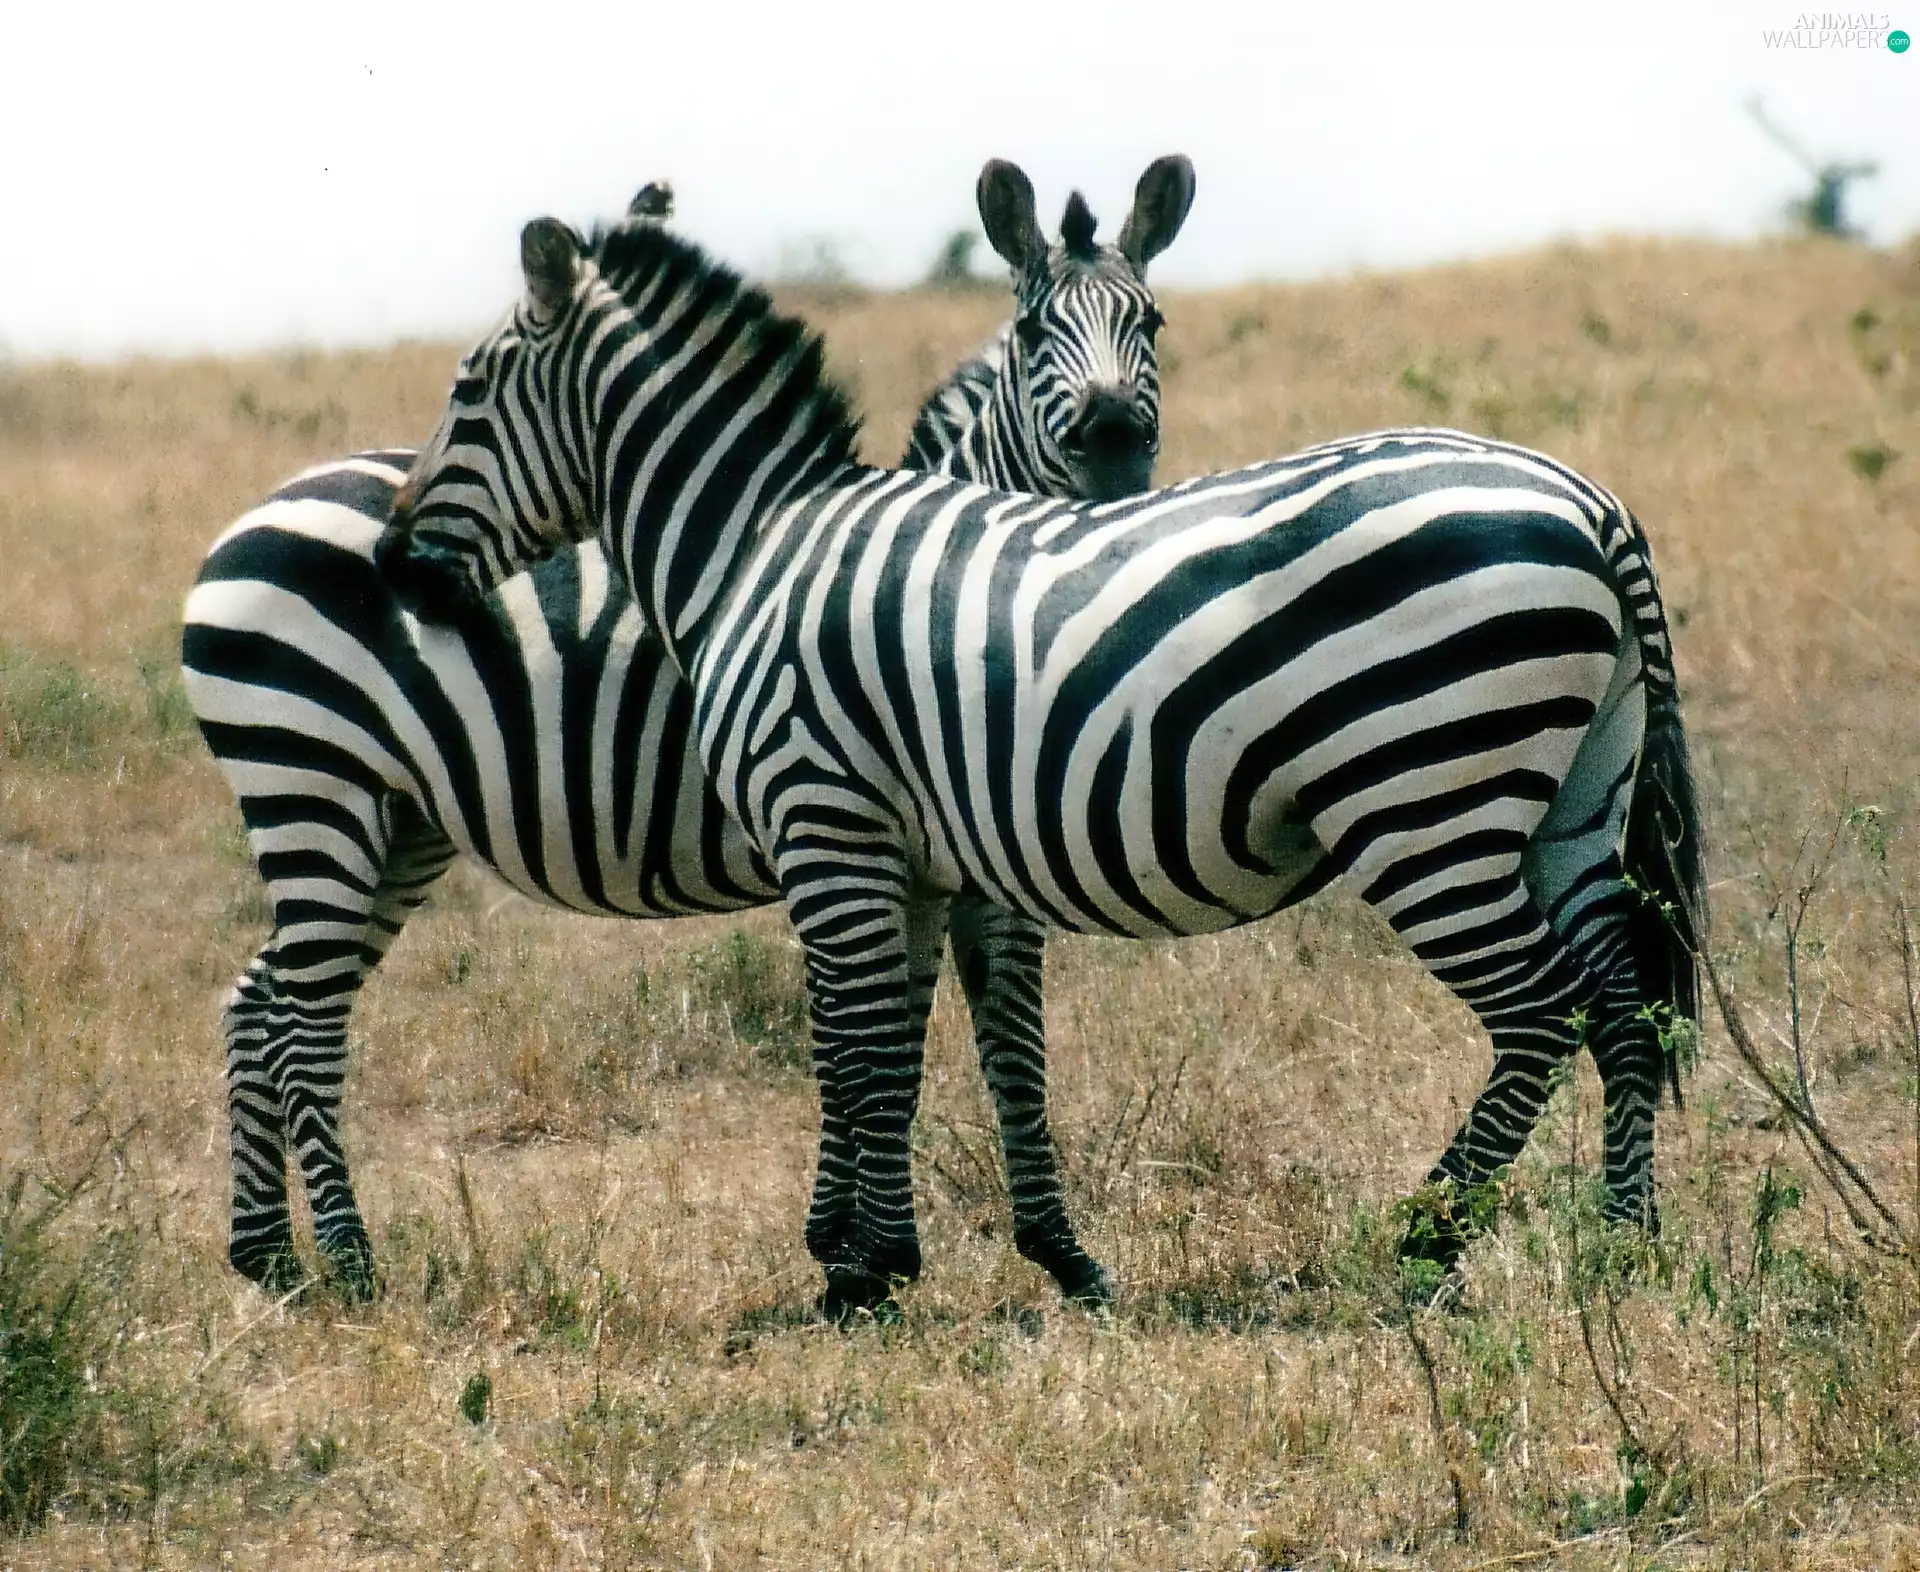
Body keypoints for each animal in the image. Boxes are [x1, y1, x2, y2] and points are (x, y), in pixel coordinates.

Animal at [182, 161, 1194, 1306]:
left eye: (1153, 322)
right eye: (1031, 334)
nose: (1115, 445)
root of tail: (252, 513)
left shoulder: (914, 849)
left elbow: (937, 1034)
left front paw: (984, 1247)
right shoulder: (887, 835)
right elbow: (920, 1036)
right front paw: (886, 1249)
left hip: (396, 824)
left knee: (260, 1001)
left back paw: (267, 1251)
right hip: (312, 783)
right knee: (304, 1020)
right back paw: (350, 1264)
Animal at [377, 198, 1704, 1316]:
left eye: (468, 390)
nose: (389, 567)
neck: (755, 547)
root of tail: (1588, 500)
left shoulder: (823, 822)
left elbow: (851, 1046)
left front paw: (857, 1274)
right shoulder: (907, 856)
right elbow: (897, 1050)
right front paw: (879, 1253)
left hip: (1425, 798)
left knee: (1541, 1011)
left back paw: (1425, 1239)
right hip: (1572, 806)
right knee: (1626, 1006)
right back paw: (1624, 1245)